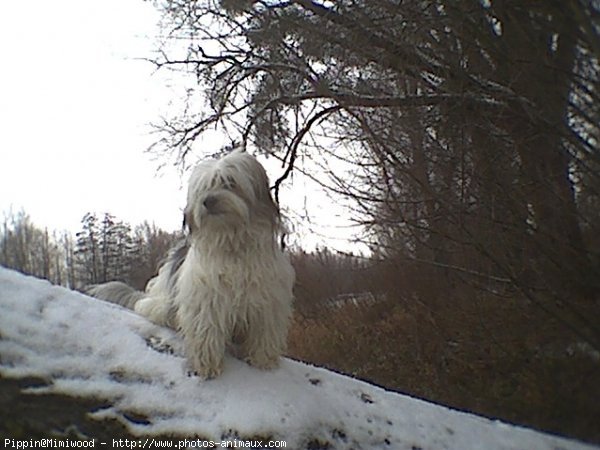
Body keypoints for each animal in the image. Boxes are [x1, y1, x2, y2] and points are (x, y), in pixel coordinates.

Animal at [87, 149, 296, 378]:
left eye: (229, 182)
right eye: (203, 188)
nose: (207, 201)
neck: (231, 243)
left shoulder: (268, 303)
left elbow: (264, 333)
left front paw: (263, 361)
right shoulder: (206, 300)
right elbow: (206, 332)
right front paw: (206, 366)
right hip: (163, 305)